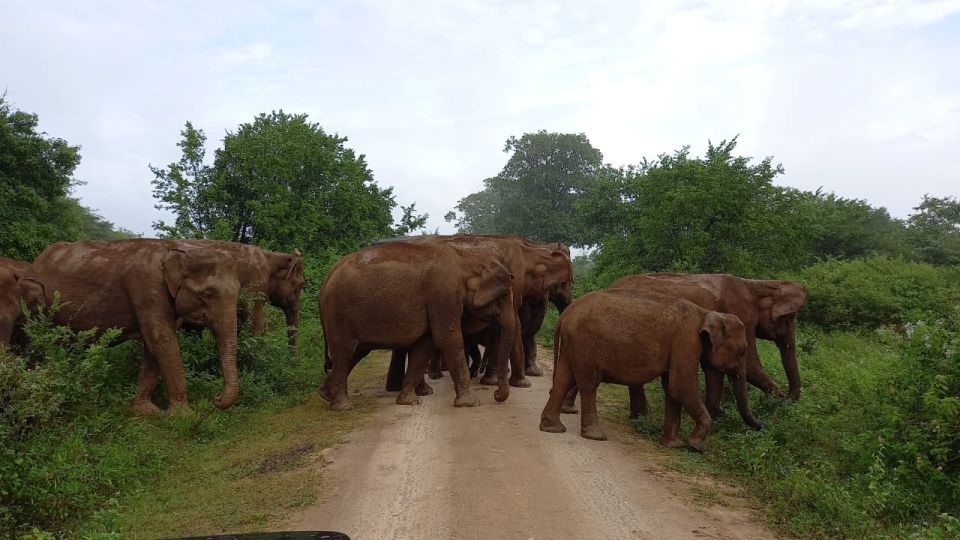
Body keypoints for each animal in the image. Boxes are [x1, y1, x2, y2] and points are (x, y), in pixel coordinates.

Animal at [18, 240, 242, 414]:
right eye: (207, 294)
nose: (216, 397)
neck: (177, 248)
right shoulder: (146, 286)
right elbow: (162, 340)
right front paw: (184, 415)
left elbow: (154, 346)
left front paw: (146, 411)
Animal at [320, 240, 516, 410]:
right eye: (504, 295)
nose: (495, 394)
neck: (467, 258)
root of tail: (327, 277)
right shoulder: (444, 294)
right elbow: (448, 339)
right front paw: (471, 403)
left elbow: (424, 345)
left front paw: (409, 401)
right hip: (338, 314)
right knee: (344, 353)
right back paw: (343, 406)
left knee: (355, 352)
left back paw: (326, 394)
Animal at [536, 286, 760, 452]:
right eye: (742, 351)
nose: (762, 425)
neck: (707, 313)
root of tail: (565, 315)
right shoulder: (685, 341)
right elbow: (682, 387)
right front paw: (696, 446)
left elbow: (671, 388)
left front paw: (673, 445)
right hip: (585, 344)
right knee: (589, 384)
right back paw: (596, 436)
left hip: (573, 343)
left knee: (563, 378)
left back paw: (553, 428)